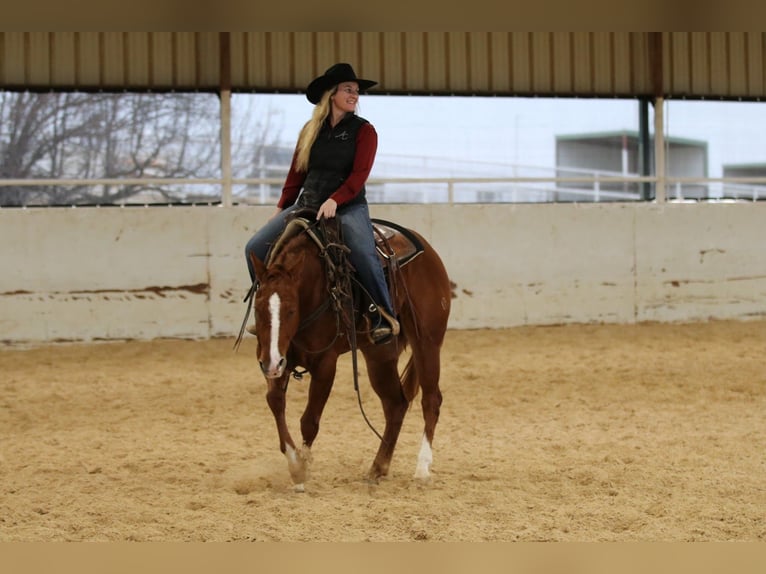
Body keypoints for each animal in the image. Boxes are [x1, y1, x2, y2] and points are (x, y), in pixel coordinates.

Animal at [244, 214, 450, 492]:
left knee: (431, 400)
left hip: (427, 341)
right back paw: (378, 467)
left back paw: (422, 468)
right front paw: (295, 465)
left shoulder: (324, 363)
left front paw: (302, 471)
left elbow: (309, 421)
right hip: (379, 354)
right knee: (396, 404)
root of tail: (429, 252)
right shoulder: (275, 355)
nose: (271, 364)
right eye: (257, 308)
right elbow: (275, 402)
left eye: (290, 310)